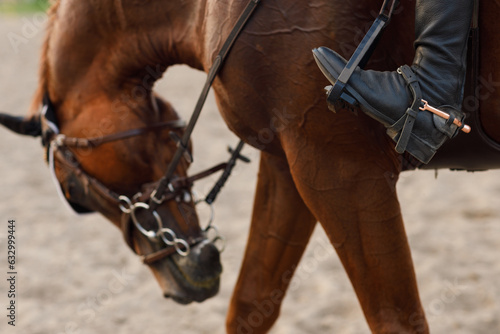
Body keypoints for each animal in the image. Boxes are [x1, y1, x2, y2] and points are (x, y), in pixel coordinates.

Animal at [0, 0, 500, 332]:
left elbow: (395, 318)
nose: (187, 280)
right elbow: (250, 305)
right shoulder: (292, 163)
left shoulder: (345, 169)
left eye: (75, 195)